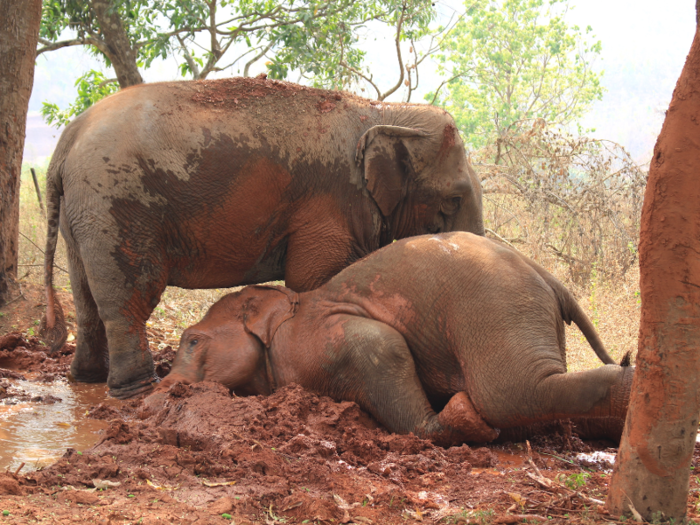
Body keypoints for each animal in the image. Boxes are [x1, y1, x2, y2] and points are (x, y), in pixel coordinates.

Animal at [39, 77, 486, 398]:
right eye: (453, 199)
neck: (380, 112)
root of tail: (65, 144)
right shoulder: (330, 202)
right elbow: (315, 279)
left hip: (83, 214)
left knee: (85, 296)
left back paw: (86, 380)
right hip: (116, 205)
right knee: (130, 297)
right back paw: (134, 392)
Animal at [156, 231, 632, 444]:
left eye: (192, 340)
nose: (165, 387)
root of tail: (547, 277)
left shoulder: (315, 340)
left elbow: (380, 343)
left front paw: (462, 417)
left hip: (497, 303)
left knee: (509, 392)